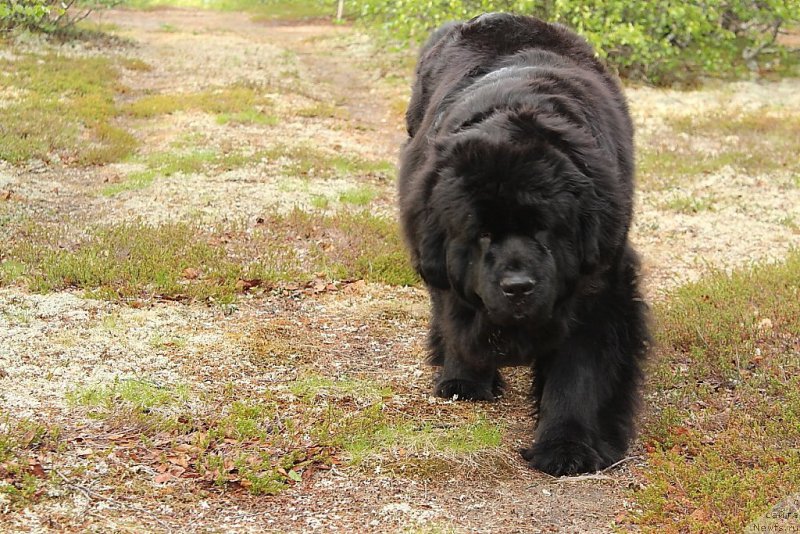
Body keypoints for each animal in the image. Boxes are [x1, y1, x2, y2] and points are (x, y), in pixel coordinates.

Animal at [400, 12, 648, 476]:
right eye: (481, 234)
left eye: (543, 230)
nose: (517, 286)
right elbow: (457, 314)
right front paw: (465, 379)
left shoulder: (599, 285)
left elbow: (579, 372)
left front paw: (567, 446)